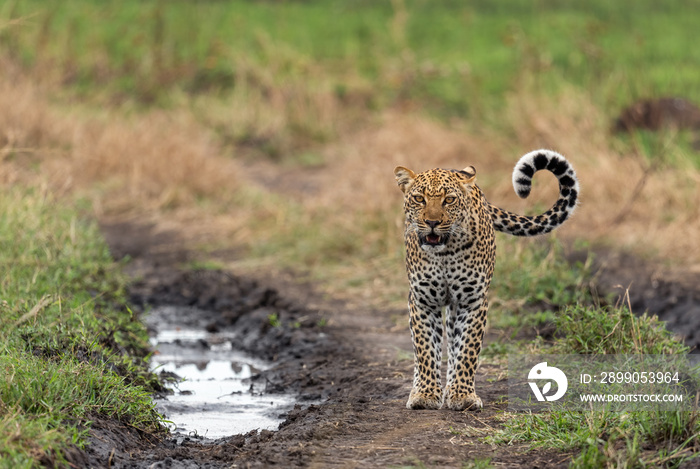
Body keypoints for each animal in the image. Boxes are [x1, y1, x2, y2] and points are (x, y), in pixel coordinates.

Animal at [394, 150, 580, 410]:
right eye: (419, 199)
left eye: (449, 200)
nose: (432, 222)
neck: (444, 253)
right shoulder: (422, 301)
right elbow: (425, 350)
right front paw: (425, 394)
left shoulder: (472, 301)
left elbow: (467, 350)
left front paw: (462, 395)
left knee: (454, 344)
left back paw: (450, 388)